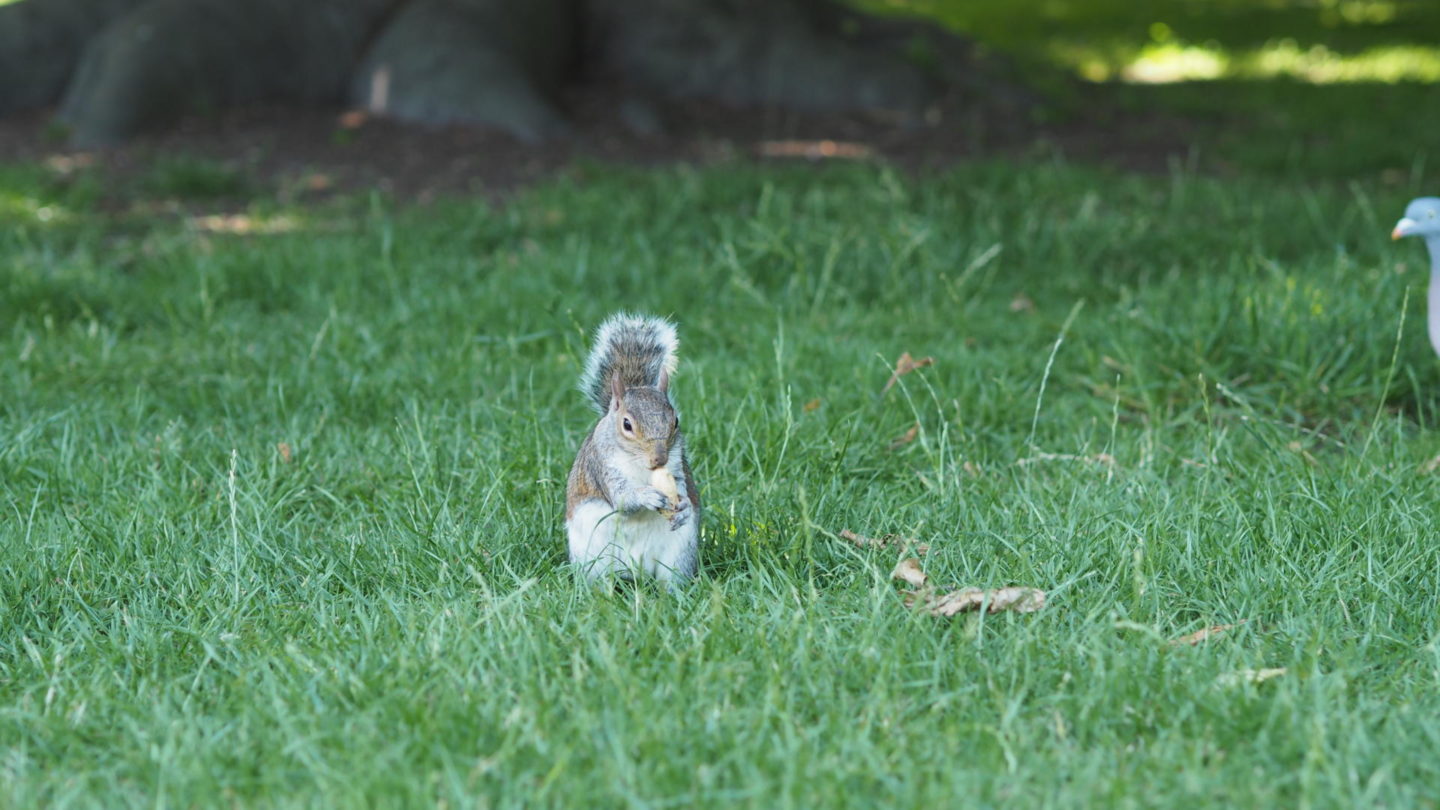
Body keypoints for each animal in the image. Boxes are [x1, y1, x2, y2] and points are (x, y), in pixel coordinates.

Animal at [564, 312, 699, 582]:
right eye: (626, 424)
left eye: (676, 421)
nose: (659, 459)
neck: (641, 466)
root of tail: (636, 569)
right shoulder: (602, 465)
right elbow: (621, 498)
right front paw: (645, 496)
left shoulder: (676, 464)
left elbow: (680, 485)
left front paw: (683, 507)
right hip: (592, 557)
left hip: (678, 555)